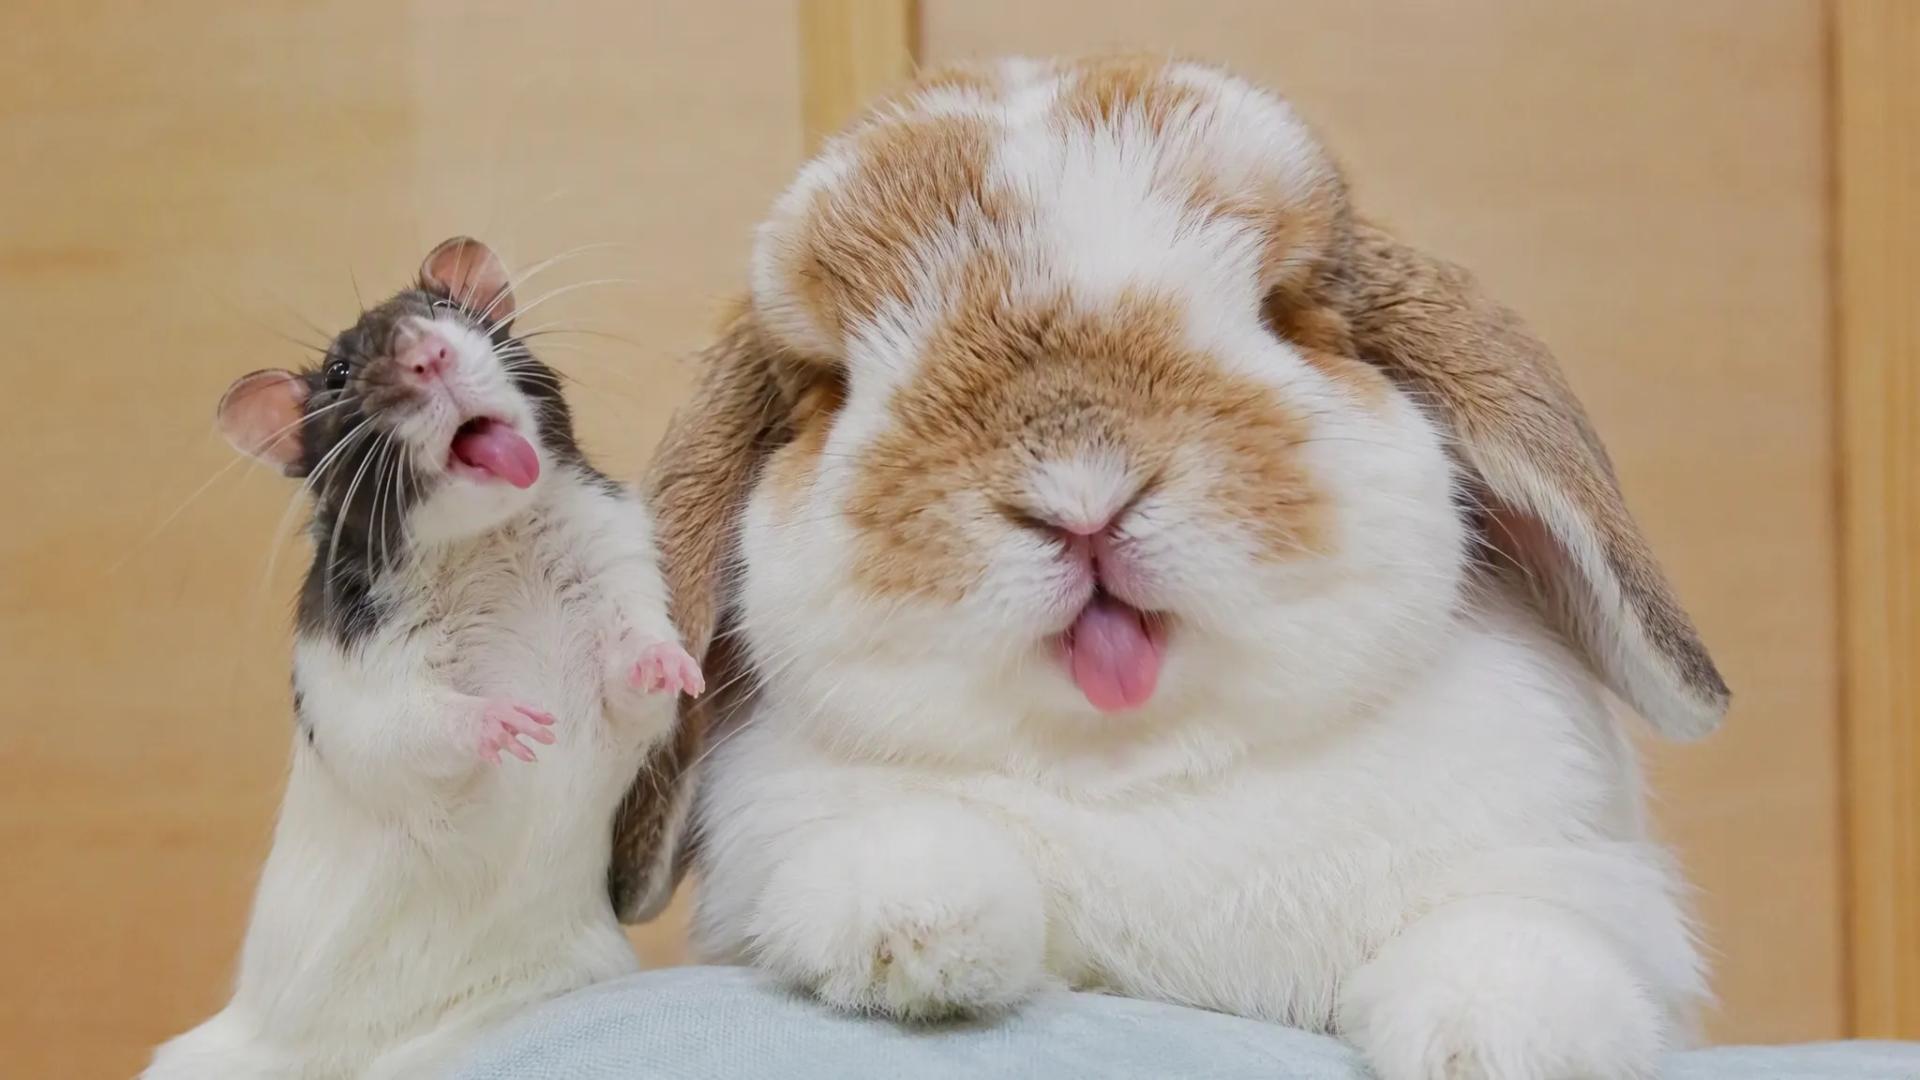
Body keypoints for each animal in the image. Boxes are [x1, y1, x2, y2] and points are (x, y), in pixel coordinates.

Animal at [632, 55, 1730, 1080]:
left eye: (1279, 310)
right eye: (833, 384)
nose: (1081, 495)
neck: (1155, 768)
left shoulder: (1571, 873)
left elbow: (1511, 932)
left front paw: (1499, 1034)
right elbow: (893, 855)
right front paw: (910, 924)